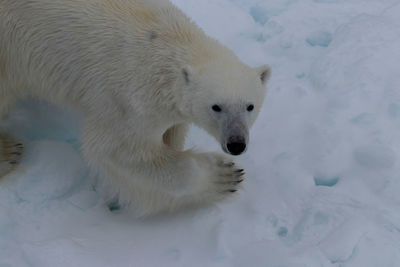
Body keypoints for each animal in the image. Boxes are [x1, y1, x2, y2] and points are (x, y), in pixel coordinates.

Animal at [0, 0, 270, 216]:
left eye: (249, 106)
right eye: (216, 107)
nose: (236, 144)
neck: (170, 40)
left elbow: (173, 130)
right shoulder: (129, 100)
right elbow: (121, 150)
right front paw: (224, 175)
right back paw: (9, 151)